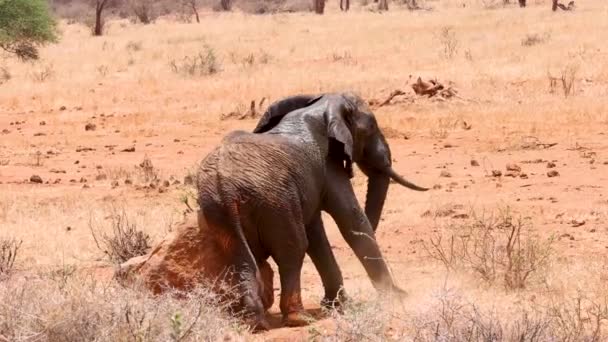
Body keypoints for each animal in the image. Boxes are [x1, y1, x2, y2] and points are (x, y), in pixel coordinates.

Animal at [196, 91, 428, 332]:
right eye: (372, 127)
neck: (320, 105)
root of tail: (225, 186)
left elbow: (317, 233)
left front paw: (336, 305)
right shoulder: (328, 167)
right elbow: (351, 220)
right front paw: (397, 298)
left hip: (220, 211)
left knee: (240, 258)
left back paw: (254, 323)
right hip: (275, 201)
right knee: (292, 250)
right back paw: (298, 319)